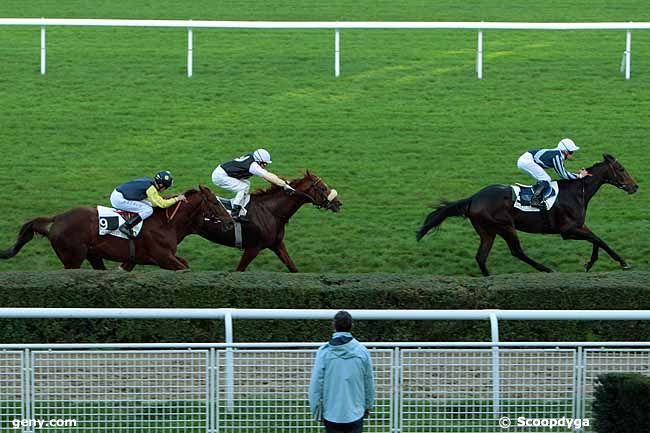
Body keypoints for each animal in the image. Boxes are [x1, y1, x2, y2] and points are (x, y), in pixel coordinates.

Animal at [0, 185, 230, 270]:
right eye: (216, 202)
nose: (229, 222)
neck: (167, 223)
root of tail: (57, 218)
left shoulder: (134, 259)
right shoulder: (163, 257)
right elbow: (183, 268)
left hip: (93, 255)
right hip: (73, 259)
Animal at [199, 170, 342, 272]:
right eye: (323, 188)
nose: (338, 203)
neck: (270, 211)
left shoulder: (277, 244)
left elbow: (293, 268)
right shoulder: (253, 248)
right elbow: (239, 270)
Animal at [418, 153, 636, 274]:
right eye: (621, 169)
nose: (635, 186)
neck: (577, 191)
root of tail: (473, 198)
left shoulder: (579, 226)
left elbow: (598, 240)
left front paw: (593, 263)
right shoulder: (567, 231)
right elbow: (598, 240)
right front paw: (621, 263)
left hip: (488, 231)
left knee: (481, 257)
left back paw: (489, 277)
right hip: (505, 226)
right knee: (516, 251)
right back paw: (546, 269)